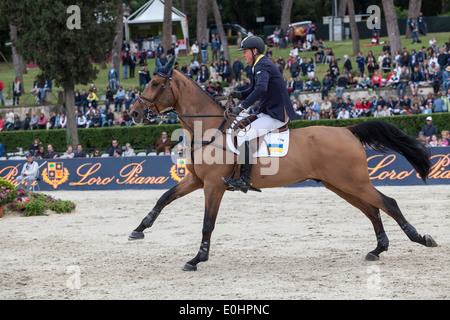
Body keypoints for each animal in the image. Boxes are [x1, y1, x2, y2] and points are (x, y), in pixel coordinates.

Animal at [128, 57, 438, 270]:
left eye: (155, 84)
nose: (133, 114)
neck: (210, 129)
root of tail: (348, 130)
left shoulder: (213, 186)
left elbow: (207, 223)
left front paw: (197, 259)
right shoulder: (196, 180)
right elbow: (164, 198)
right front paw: (139, 228)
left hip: (353, 181)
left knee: (388, 203)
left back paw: (421, 238)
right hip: (339, 184)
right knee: (372, 209)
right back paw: (378, 249)